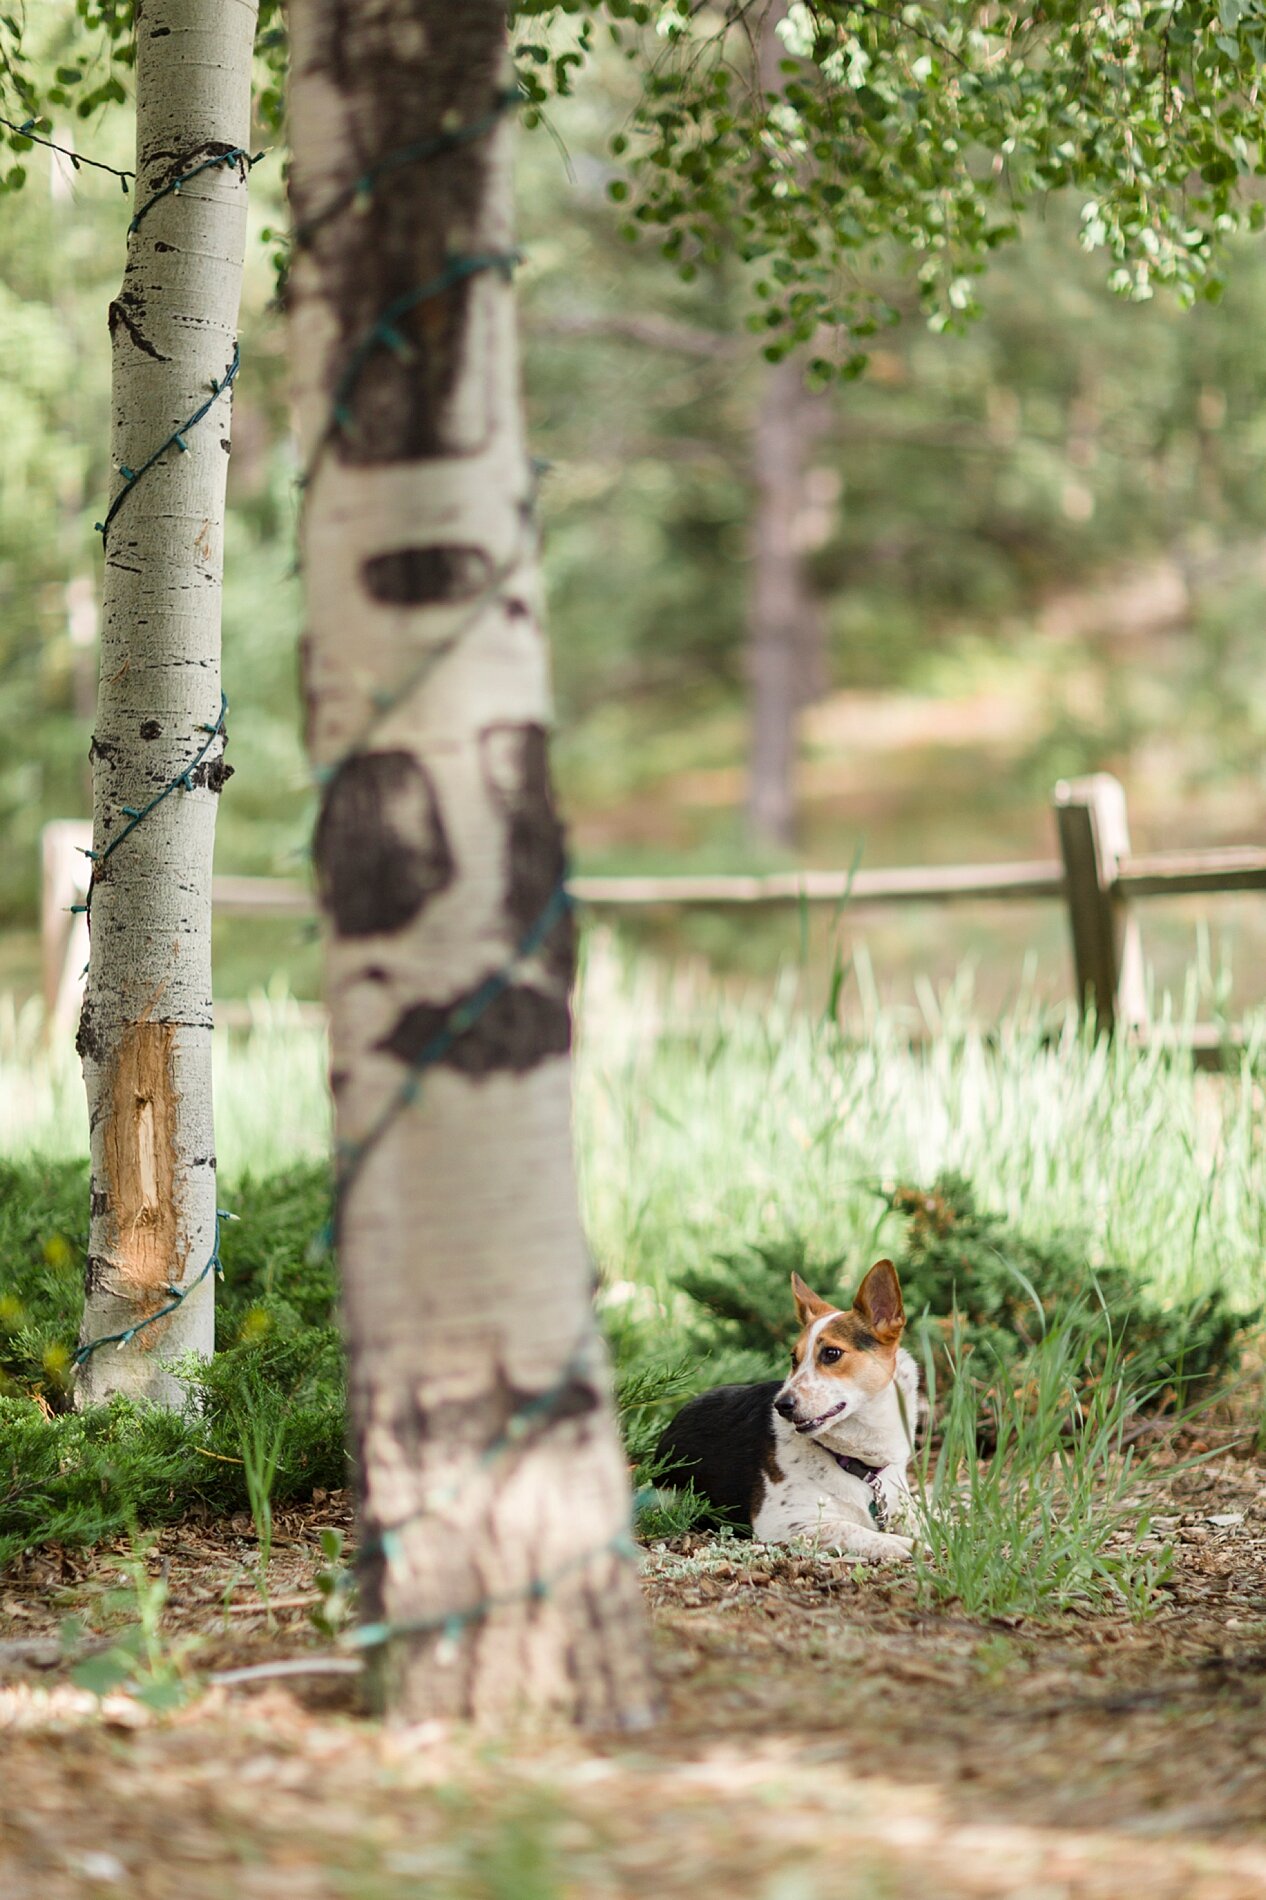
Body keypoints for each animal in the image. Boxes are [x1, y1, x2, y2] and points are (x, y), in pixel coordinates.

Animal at [653, 1261, 912, 1558]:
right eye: (793, 1359)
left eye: (832, 1354)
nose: (781, 1406)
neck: (858, 1462)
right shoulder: (784, 1523)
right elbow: (852, 1529)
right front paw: (902, 1543)